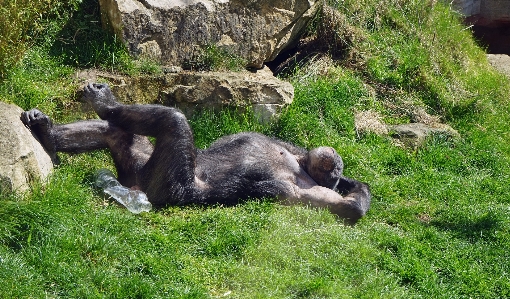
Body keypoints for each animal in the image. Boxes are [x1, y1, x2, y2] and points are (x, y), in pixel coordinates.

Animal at [21, 83, 370, 224]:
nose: (336, 162)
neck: (300, 165)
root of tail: (133, 184)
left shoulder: (310, 192)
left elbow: (347, 207)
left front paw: (349, 188)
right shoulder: (293, 147)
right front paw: (350, 181)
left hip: (165, 181)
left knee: (171, 120)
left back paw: (105, 102)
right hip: (138, 159)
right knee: (113, 131)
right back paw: (47, 135)